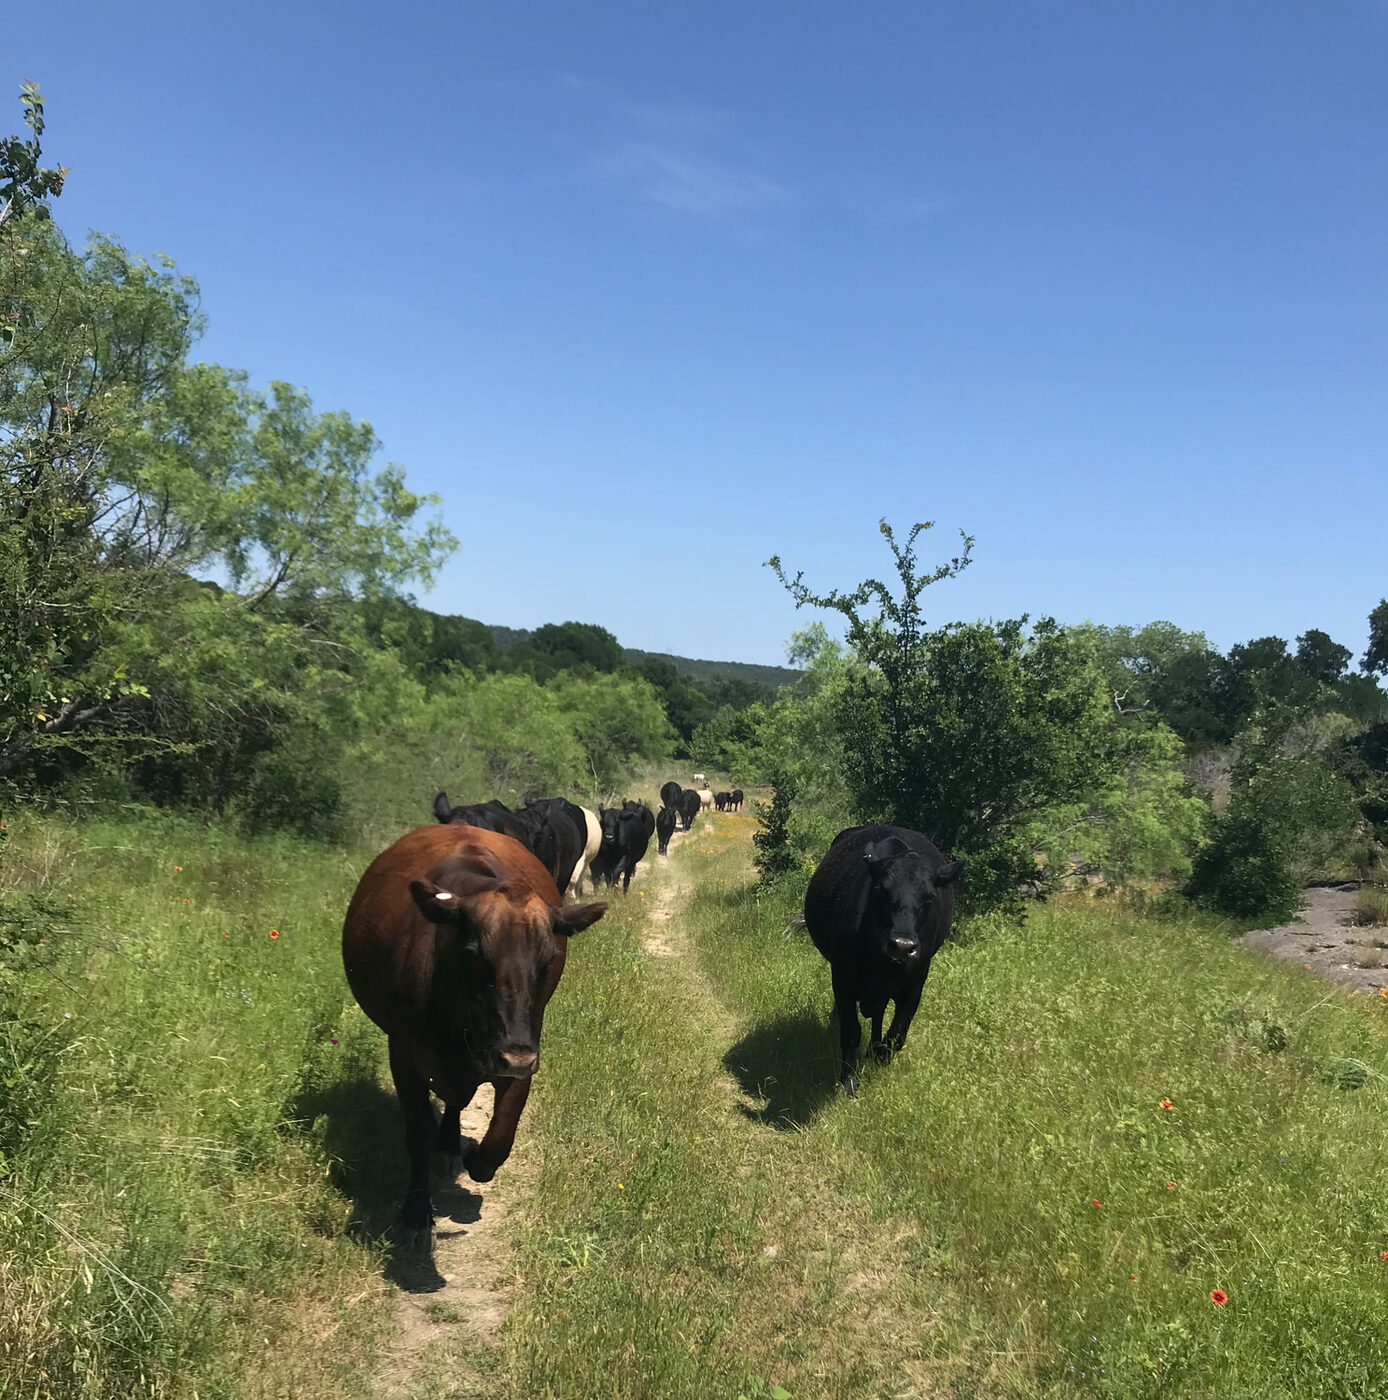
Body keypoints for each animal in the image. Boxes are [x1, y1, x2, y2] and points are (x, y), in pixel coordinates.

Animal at [342, 824, 607, 1239]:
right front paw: (416, 1211)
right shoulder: (402, 1054)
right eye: (474, 954)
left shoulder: (523, 1053)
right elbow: (418, 1133)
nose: (515, 1056)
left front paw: (474, 1159)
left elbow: (500, 1138)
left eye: (549, 959)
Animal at [803, 825, 964, 1097]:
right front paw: (849, 1081)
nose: (902, 945)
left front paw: (879, 1063)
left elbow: (897, 1034)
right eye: (880, 890)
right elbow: (850, 1031)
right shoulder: (842, 975)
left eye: (929, 898)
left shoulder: (916, 981)